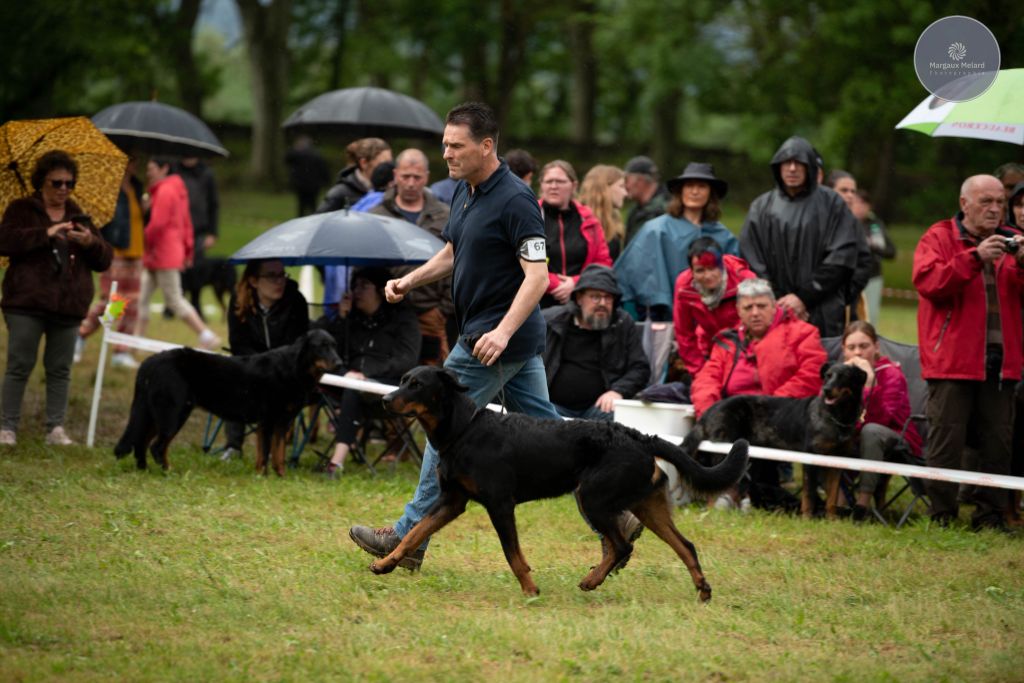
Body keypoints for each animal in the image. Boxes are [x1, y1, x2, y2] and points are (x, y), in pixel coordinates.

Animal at [113, 327, 339, 479]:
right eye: (321, 347)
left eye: (334, 346)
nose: (340, 362)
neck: (294, 368)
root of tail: (150, 362)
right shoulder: (268, 420)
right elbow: (266, 452)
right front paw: (264, 476)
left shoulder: (282, 422)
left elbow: (278, 453)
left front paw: (279, 475)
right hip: (174, 412)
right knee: (157, 446)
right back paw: (169, 471)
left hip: (154, 413)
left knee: (141, 442)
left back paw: (143, 470)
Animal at [679, 362, 864, 518]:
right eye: (827, 375)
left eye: (843, 376)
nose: (826, 389)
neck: (836, 417)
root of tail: (709, 411)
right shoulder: (810, 461)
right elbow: (809, 495)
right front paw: (807, 518)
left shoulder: (836, 464)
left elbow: (832, 497)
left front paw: (831, 519)